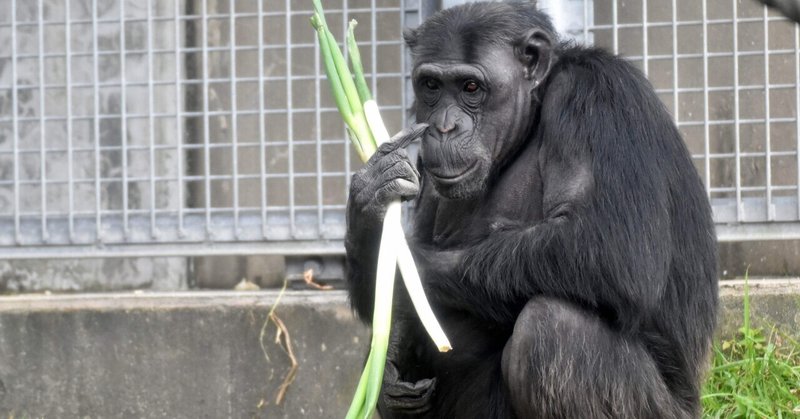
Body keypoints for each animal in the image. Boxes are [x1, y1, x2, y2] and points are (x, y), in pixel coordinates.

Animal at [344, 1, 720, 418]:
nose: (443, 127)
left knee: (554, 329)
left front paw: (402, 264)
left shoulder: (597, 97)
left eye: (470, 87)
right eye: (431, 86)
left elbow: (616, 248)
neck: (531, 119)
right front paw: (373, 195)